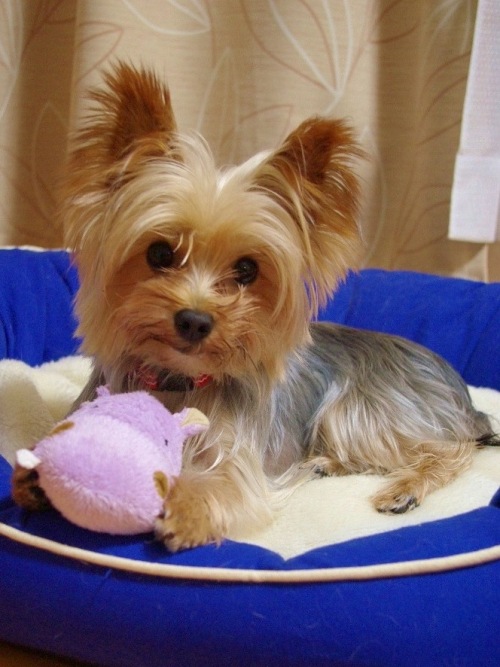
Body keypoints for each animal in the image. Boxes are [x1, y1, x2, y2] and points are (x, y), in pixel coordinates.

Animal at [12, 62, 497, 551]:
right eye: (159, 253)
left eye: (247, 269)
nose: (194, 320)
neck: (178, 380)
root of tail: (459, 390)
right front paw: (37, 474)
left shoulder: (236, 458)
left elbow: (225, 486)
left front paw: (188, 508)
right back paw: (324, 464)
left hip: (359, 410)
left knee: (450, 448)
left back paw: (405, 488)